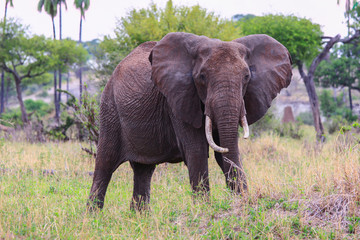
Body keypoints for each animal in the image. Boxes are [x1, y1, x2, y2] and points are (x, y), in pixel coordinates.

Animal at [88, 31, 292, 210]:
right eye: (202, 77)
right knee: (105, 164)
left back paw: (139, 218)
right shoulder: (177, 99)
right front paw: (204, 211)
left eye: (247, 77)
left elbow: (223, 153)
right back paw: (93, 219)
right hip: (109, 108)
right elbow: (197, 151)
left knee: (143, 170)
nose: (241, 201)